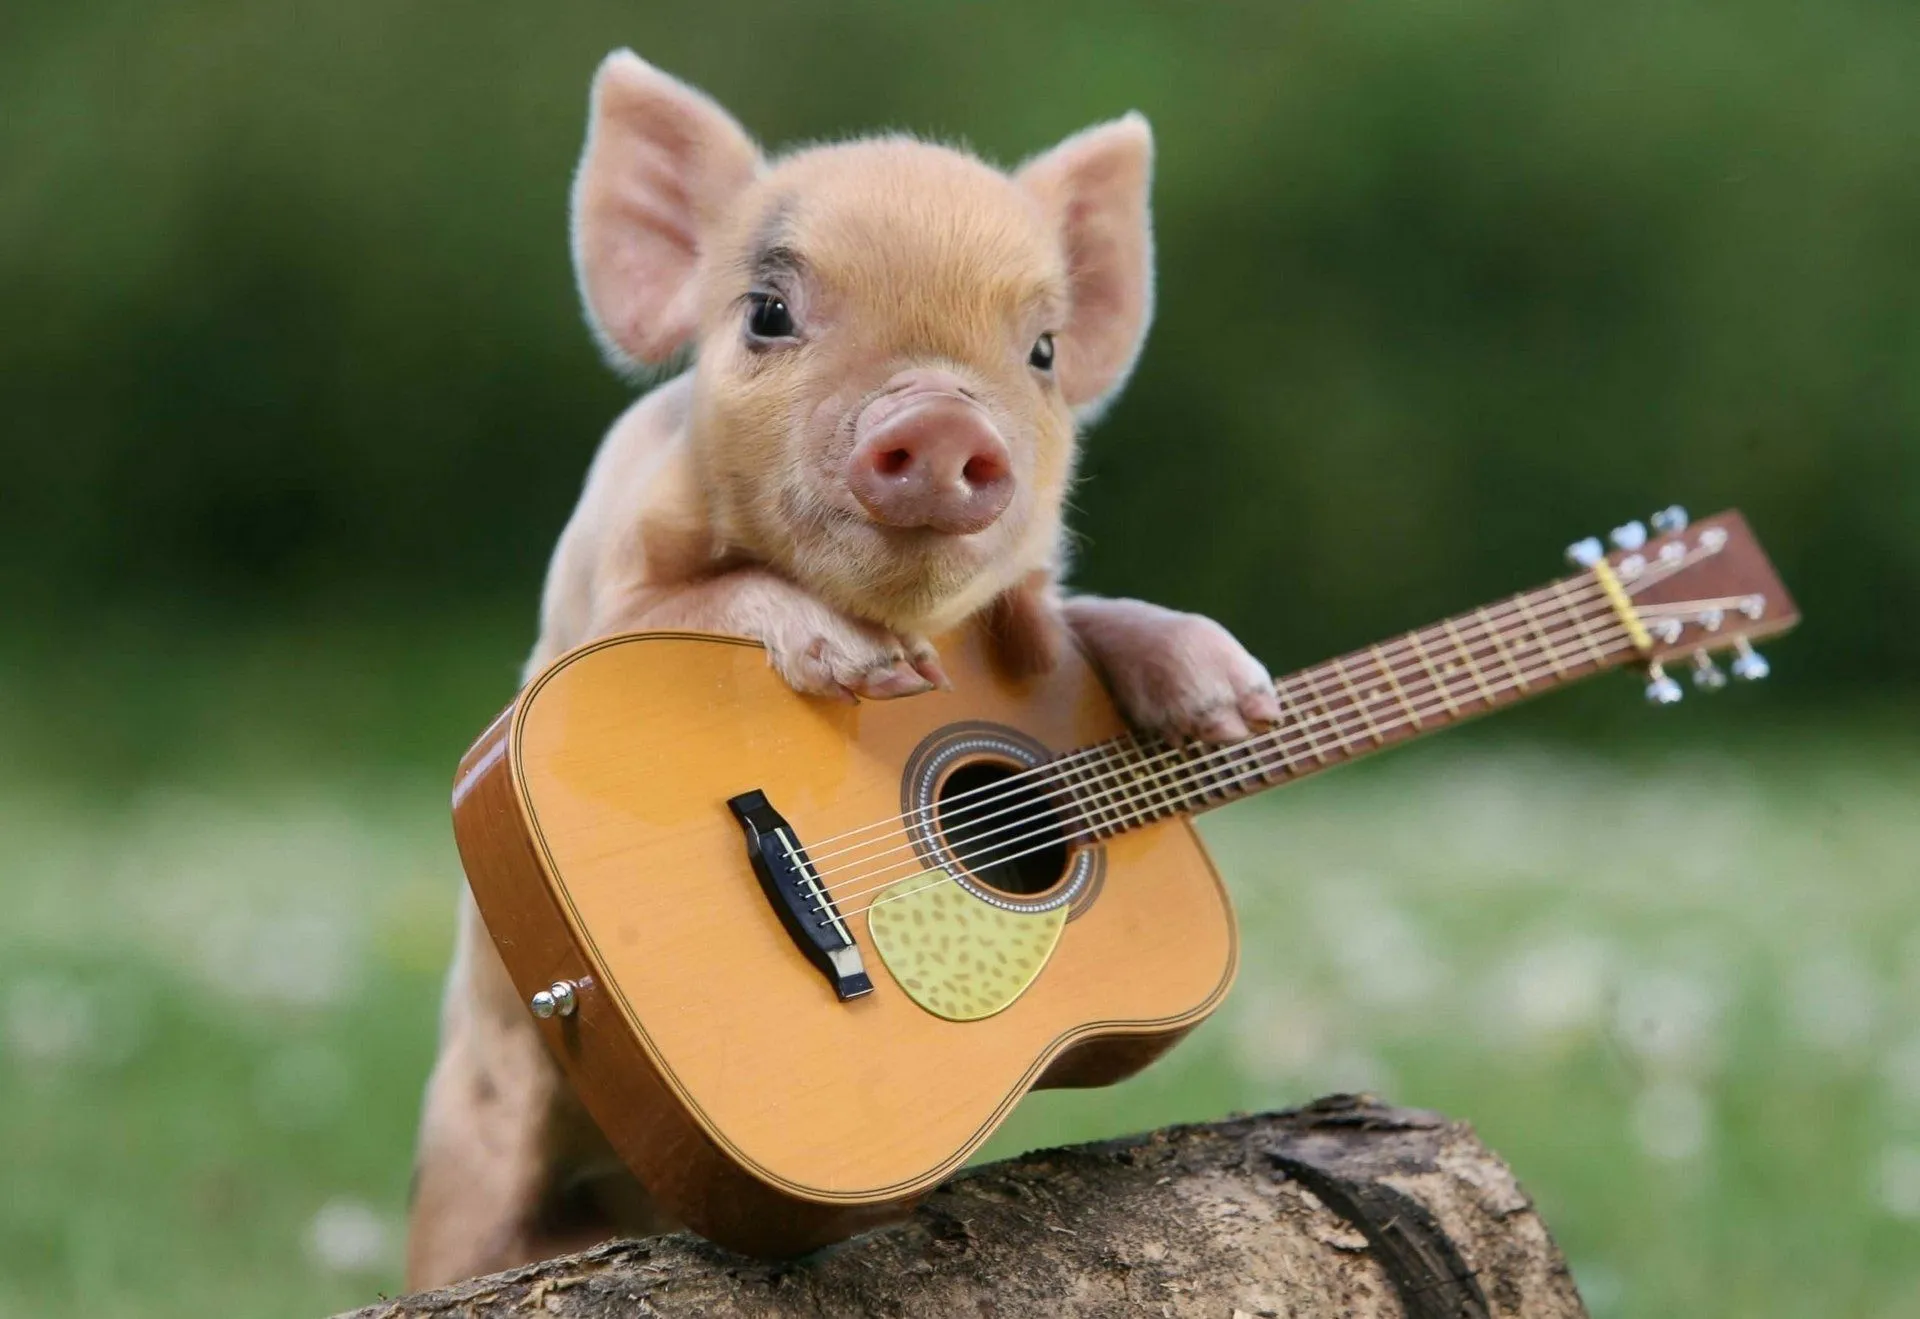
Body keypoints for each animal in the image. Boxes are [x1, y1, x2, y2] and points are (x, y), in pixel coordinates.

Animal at [405, 50, 1280, 1288]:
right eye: (769, 313)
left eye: (1044, 351)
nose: (945, 417)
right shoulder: (591, 606)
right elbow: (709, 600)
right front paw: (868, 664)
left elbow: (1073, 616)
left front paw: (1234, 695)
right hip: (469, 1173)